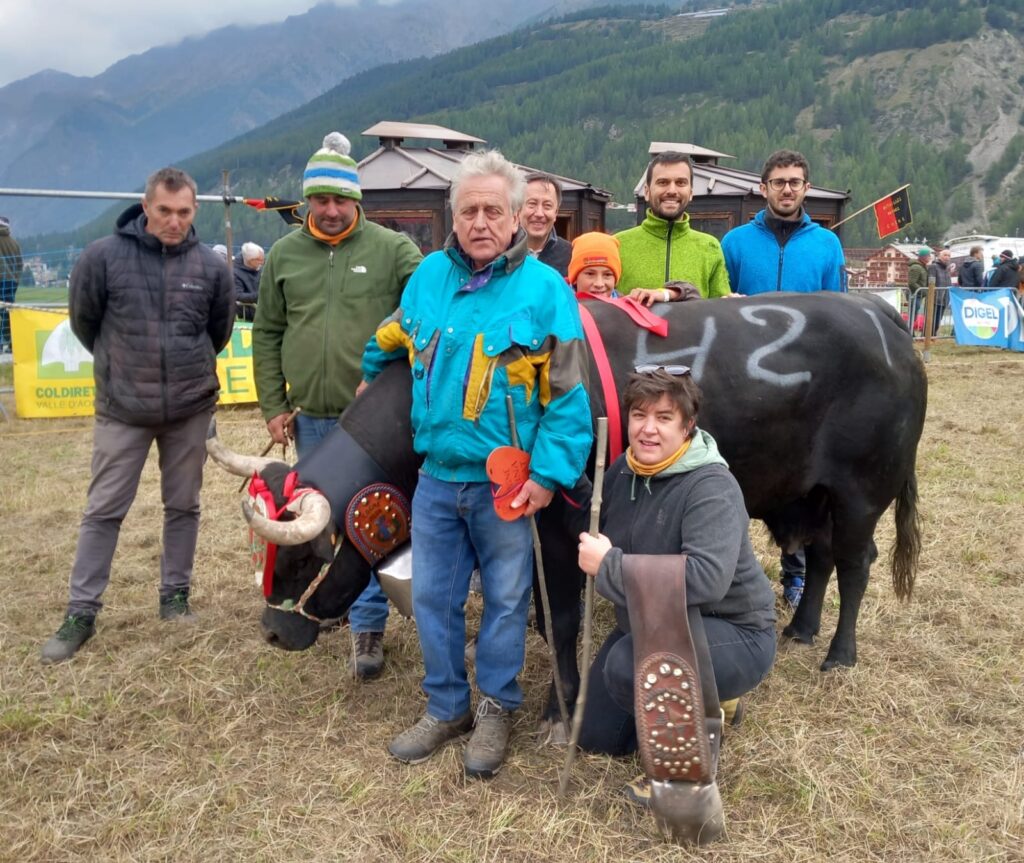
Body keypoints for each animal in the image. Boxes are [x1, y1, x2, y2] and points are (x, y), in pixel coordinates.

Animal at [209, 290, 929, 720]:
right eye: (264, 550)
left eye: (306, 554)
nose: (272, 633)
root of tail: (882, 314)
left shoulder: (559, 525)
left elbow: (559, 613)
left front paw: (561, 705)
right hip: (814, 495)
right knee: (822, 557)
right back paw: (801, 629)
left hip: (862, 491)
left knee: (855, 563)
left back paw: (838, 654)